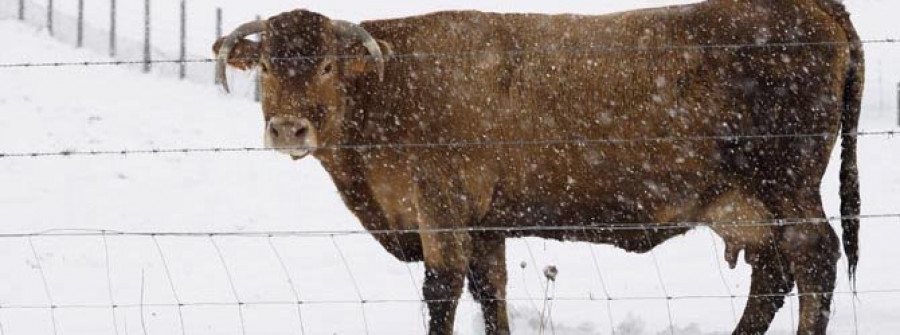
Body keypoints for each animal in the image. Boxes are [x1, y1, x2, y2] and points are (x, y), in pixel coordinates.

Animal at [213, 1, 864, 334]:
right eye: (266, 65)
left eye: (326, 65)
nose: (288, 129)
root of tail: (811, 7)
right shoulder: (486, 222)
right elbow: (490, 291)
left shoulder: (441, 206)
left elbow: (443, 290)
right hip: (753, 205)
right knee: (773, 275)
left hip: (788, 186)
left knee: (815, 258)